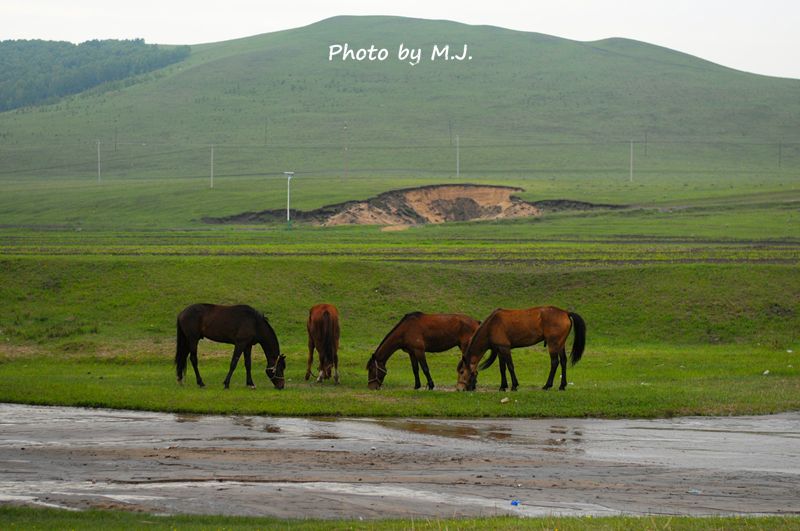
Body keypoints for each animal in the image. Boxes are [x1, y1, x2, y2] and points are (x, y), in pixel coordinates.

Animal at [456, 308, 588, 390]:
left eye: (462, 372)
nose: (459, 388)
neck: (491, 325)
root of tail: (565, 313)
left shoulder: (505, 348)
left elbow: (510, 366)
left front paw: (514, 385)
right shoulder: (499, 350)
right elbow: (502, 368)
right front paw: (502, 386)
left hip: (553, 344)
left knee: (555, 363)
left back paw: (547, 385)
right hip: (560, 344)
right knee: (563, 362)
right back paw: (562, 385)